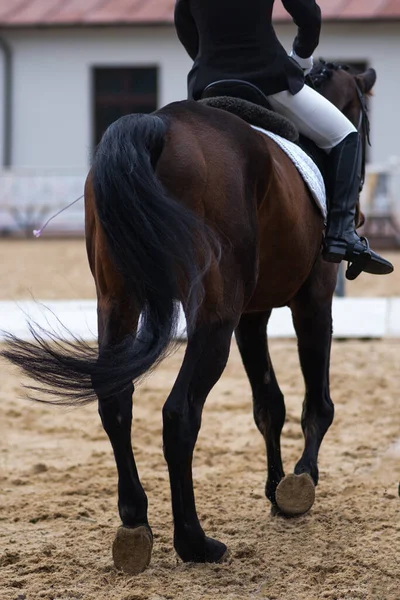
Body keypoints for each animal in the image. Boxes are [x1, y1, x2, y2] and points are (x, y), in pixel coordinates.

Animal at [1, 63, 376, 576]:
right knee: (180, 413)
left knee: (115, 401)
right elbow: (316, 403)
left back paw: (135, 527)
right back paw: (195, 542)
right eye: (363, 118)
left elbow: (268, 404)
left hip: (117, 304)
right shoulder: (313, 299)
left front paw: (276, 491)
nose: (357, 216)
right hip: (214, 318)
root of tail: (157, 126)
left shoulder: (252, 315)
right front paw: (301, 484)